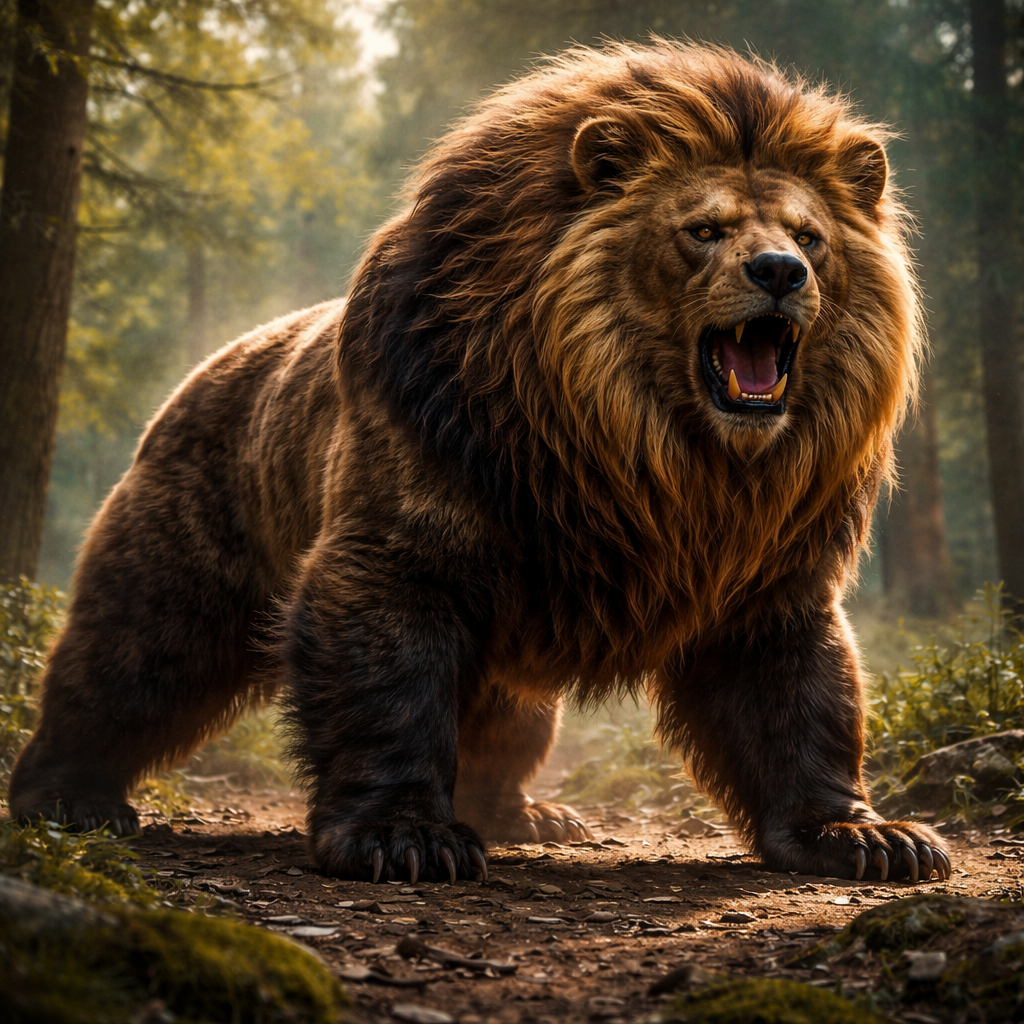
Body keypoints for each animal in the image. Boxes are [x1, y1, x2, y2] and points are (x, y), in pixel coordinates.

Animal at [10, 41, 949, 885]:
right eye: (704, 230)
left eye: (810, 236)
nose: (779, 272)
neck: (657, 456)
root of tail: (204, 370)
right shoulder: (410, 528)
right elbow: (387, 687)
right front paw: (404, 838)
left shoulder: (769, 566)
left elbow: (799, 699)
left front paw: (869, 836)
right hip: (184, 555)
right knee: (124, 665)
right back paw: (66, 799)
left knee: (508, 731)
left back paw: (531, 815)